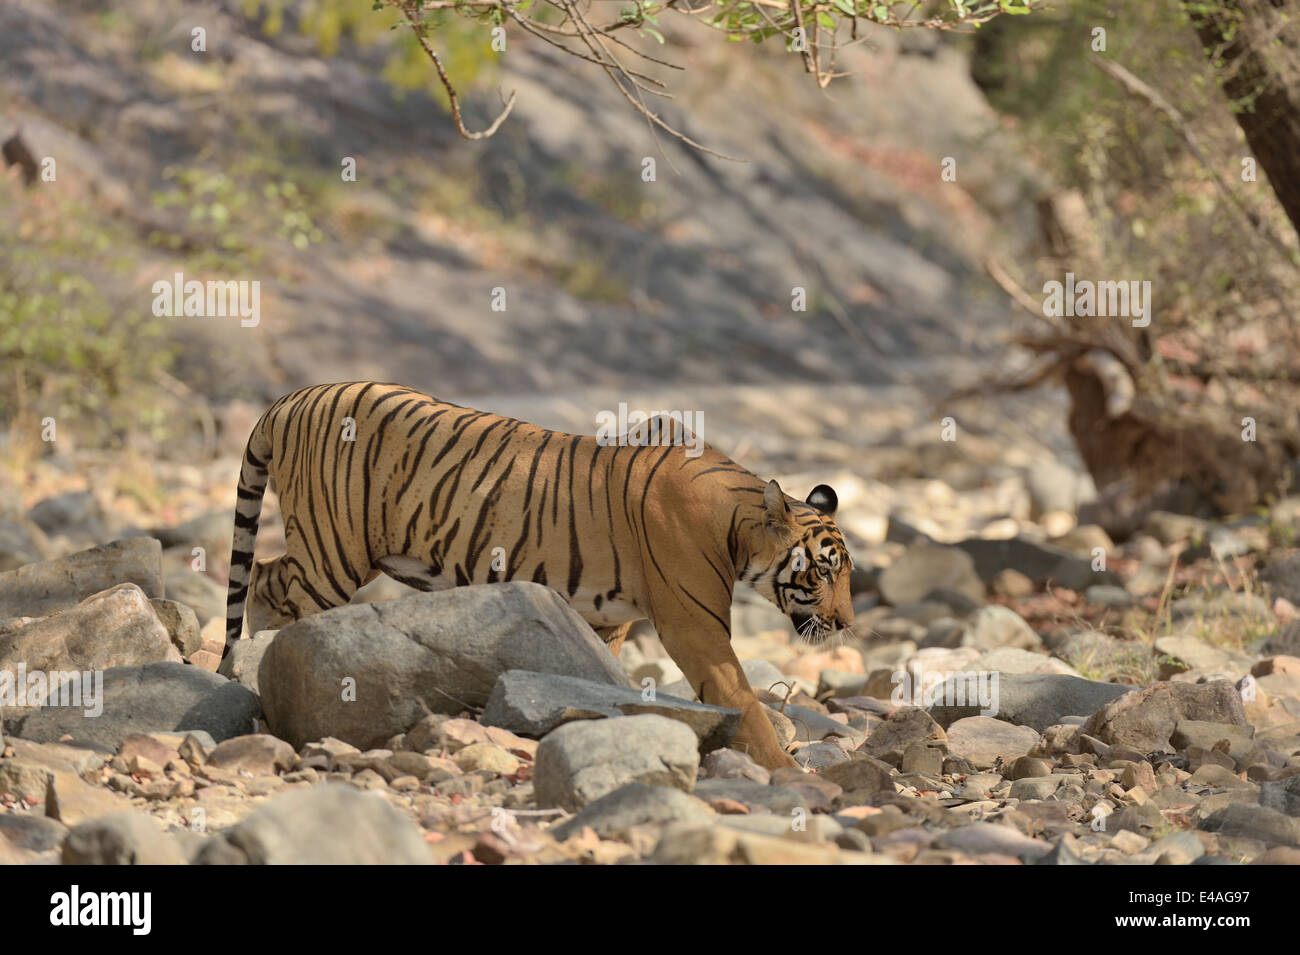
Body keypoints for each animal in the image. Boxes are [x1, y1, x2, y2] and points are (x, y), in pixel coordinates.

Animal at [223, 382, 852, 769]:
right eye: (823, 571)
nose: (846, 623)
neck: (737, 526)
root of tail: (292, 397)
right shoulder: (694, 627)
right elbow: (743, 699)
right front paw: (790, 775)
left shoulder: (609, 620)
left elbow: (604, 677)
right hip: (333, 550)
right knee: (277, 595)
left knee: (266, 575)